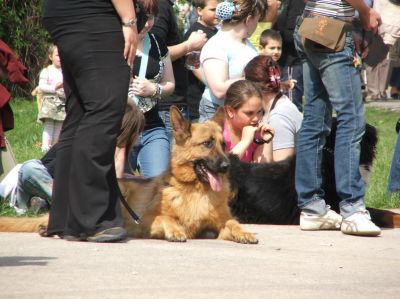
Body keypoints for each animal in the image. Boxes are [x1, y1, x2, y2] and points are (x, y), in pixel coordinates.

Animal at [0, 106, 258, 245]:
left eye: (223, 144)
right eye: (207, 144)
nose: (226, 166)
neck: (194, 189)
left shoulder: (220, 222)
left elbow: (232, 223)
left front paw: (245, 232)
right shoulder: (147, 220)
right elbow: (167, 219)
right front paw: (176, 230)